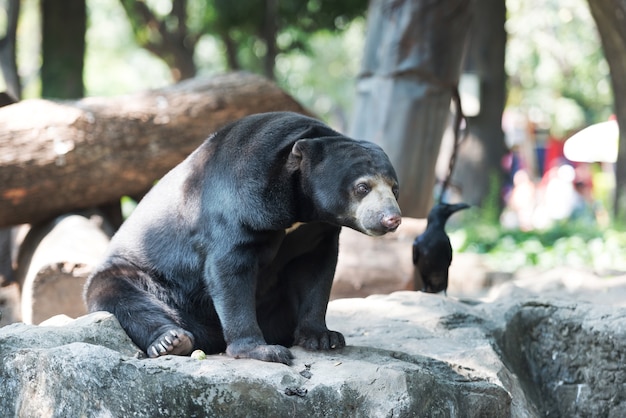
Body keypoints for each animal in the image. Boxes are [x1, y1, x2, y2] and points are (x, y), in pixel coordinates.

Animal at [84, 111, 400, 362]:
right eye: (362, 187)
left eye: (394, 188)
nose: (391, 218)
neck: (300, 206)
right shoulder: (242, 205)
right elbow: (230, 268)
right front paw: (263, 350)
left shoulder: (317, 232)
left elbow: (315, 271)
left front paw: (324, 337)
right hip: (145, 274)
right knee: (121, 294)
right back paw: (172, 340)